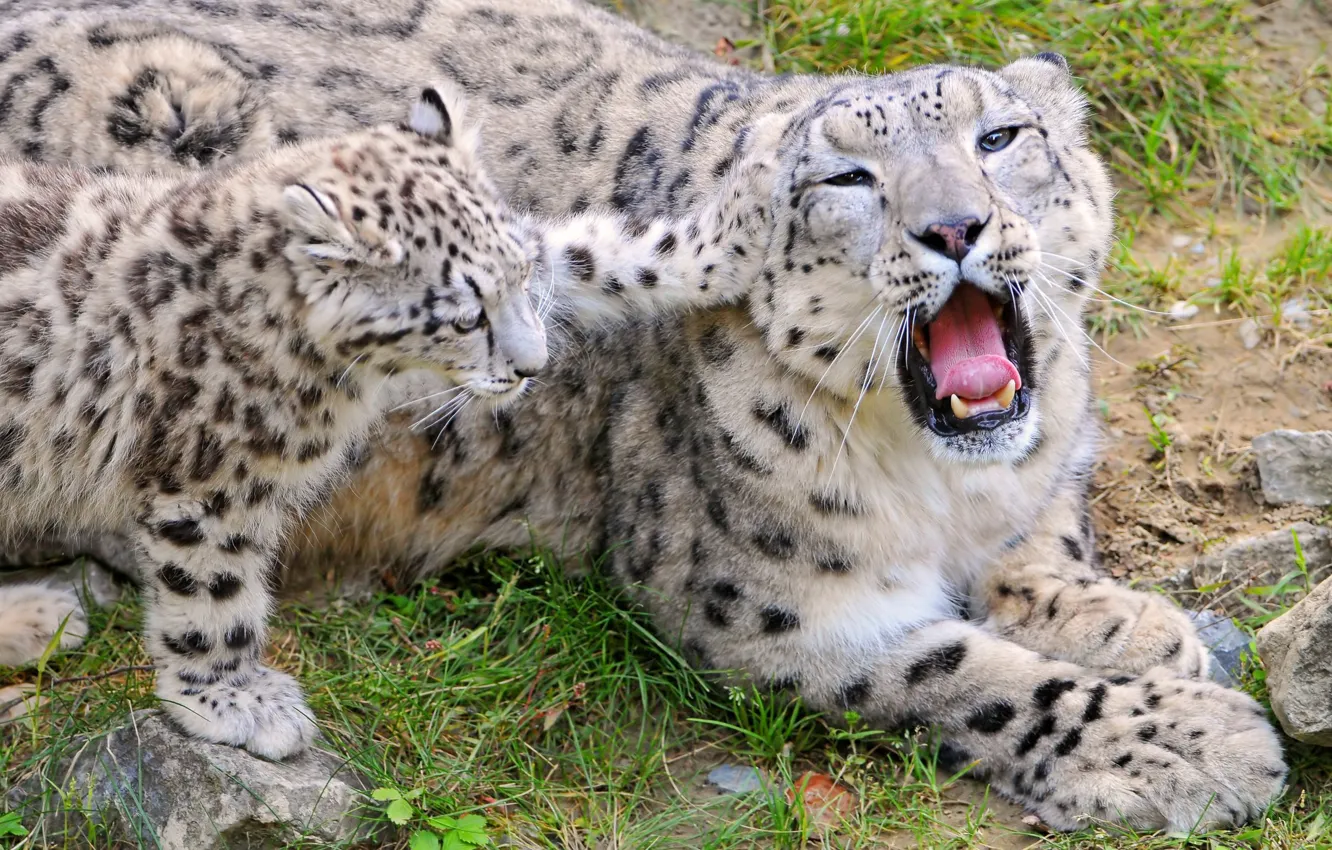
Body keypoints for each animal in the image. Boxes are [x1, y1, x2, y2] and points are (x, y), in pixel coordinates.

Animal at [0, 79, 773, 755]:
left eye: (523, 273)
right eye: (462, 317)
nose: (532, 366)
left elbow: (584, 253)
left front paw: (744, 218)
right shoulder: (209, 484)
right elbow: (213, 597)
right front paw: (236, 701)